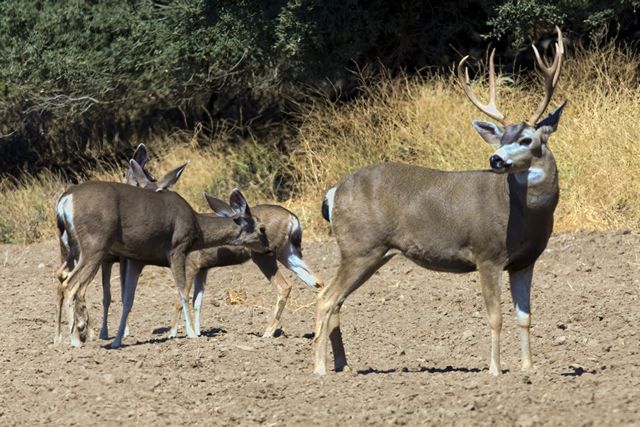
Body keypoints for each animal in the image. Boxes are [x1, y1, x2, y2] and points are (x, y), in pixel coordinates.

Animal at [54, 175, 271, 348]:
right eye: (262, 228)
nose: (269, 248)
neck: (197, 228)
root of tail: (65, 200)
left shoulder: (136, 258)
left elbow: (128, 300)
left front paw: (117, 341)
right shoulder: (177, 248)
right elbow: (183, 292)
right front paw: (191, 334)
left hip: (73, 248)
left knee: (62, 281)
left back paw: (62, 339)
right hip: (95, 245)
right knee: (70, 285)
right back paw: (75, 340)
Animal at [122, 159, 324, 339]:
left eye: (158, 191)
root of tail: (293, 219)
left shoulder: (191, 263)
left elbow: (182, 298)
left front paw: (173, 334)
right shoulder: (203, 268)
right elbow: (197, 301)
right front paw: (197, 333)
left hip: (265, 254)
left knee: (285, 286)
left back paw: (267, 333)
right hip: (288, 252)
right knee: (317, 282)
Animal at [314, 27, 565, 376]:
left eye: (526, 139)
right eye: (500, 139)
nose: (496, 159)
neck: (522, 215)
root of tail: (334, 191)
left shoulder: (525, 261)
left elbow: (525, 317)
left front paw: (529, 369)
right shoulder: (487, 253)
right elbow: (496, 317)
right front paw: (495, 370)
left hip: (373, 253)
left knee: (336, 300)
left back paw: (343, 366)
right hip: (359, 247)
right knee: (325, 297)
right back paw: (319, 370)